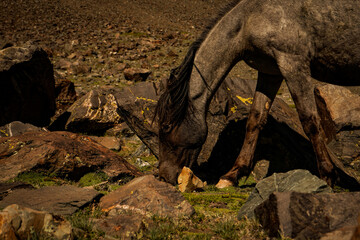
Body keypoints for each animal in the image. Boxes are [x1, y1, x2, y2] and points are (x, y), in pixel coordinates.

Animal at [155, 0, 360, 189]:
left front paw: (327, 175)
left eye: (166, 126)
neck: (250, 18)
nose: (163, 176)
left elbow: (310, 122)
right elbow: (255, 120)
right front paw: (232, 175)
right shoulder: (270, 72)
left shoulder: (294, 65)